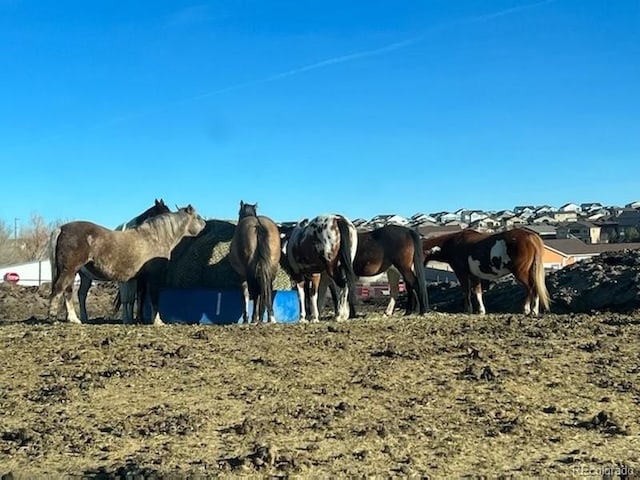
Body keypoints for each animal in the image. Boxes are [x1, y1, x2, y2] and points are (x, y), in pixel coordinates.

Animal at [49, 204, 206, 324]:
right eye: (197, 217)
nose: (205, 224)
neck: (155, 238)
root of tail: (61, 228)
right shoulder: (153, 278)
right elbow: (154, 298)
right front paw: (157, 322)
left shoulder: (140, 279)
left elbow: (138, 298)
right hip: (70, 270)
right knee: (60, 289)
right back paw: (56, 317)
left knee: (69, 292)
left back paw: (75, 319)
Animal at [420, 228, 552, 316]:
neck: (454, 243)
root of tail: (530, 235)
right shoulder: (474, 275)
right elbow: (477, 292)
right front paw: (481, 311)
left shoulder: (461, 273)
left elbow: (466, 291)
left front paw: (468, 310)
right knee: (535, 287)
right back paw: (534, 310)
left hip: (521, 272)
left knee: (531, 287)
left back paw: (527, 309)